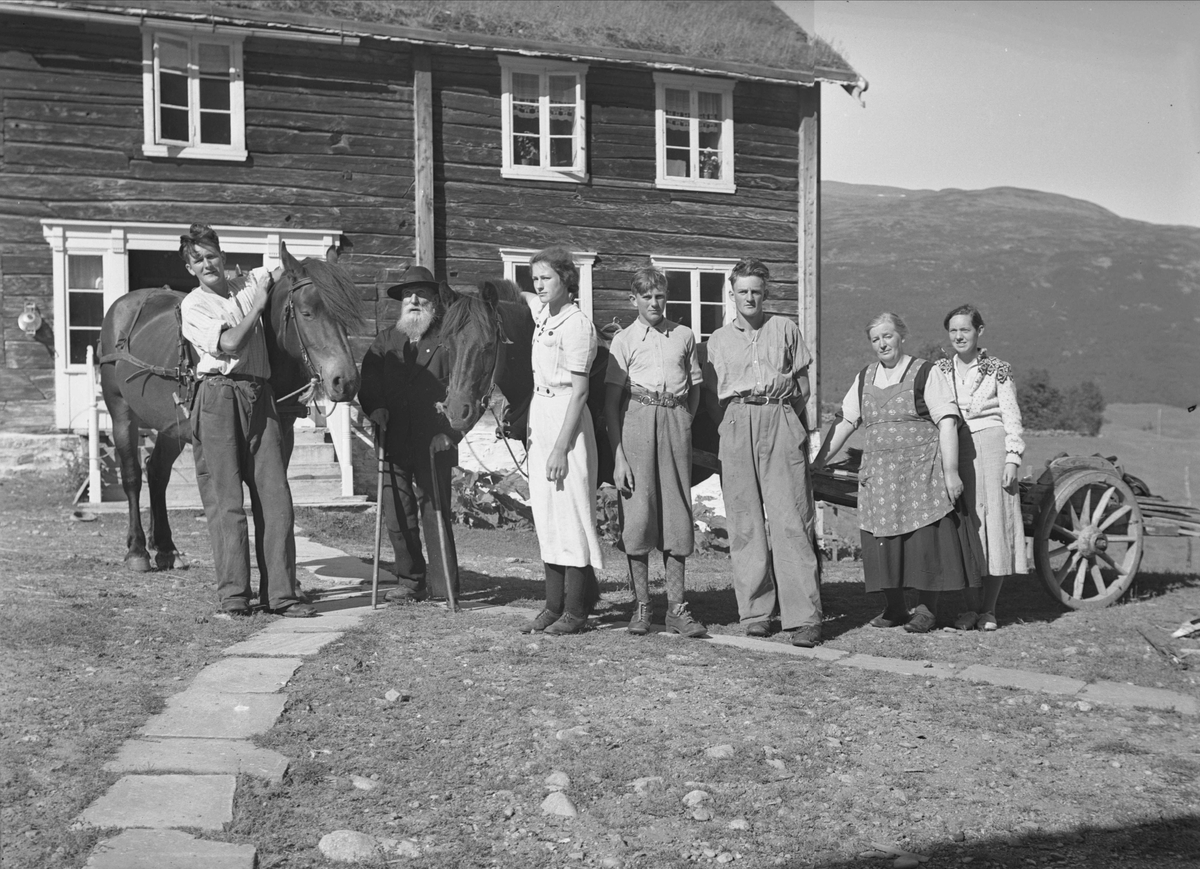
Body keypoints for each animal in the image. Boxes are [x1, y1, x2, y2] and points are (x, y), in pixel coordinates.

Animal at [99, 241, 362, 573]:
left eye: (346, 313)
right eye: (307, 313)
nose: (346, 381)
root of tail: (124, 304)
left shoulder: (280, 436)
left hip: (170, 425)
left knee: (157, 472)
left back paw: (167, 548)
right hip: (121, 410)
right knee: (133, 475)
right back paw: (137, 550)